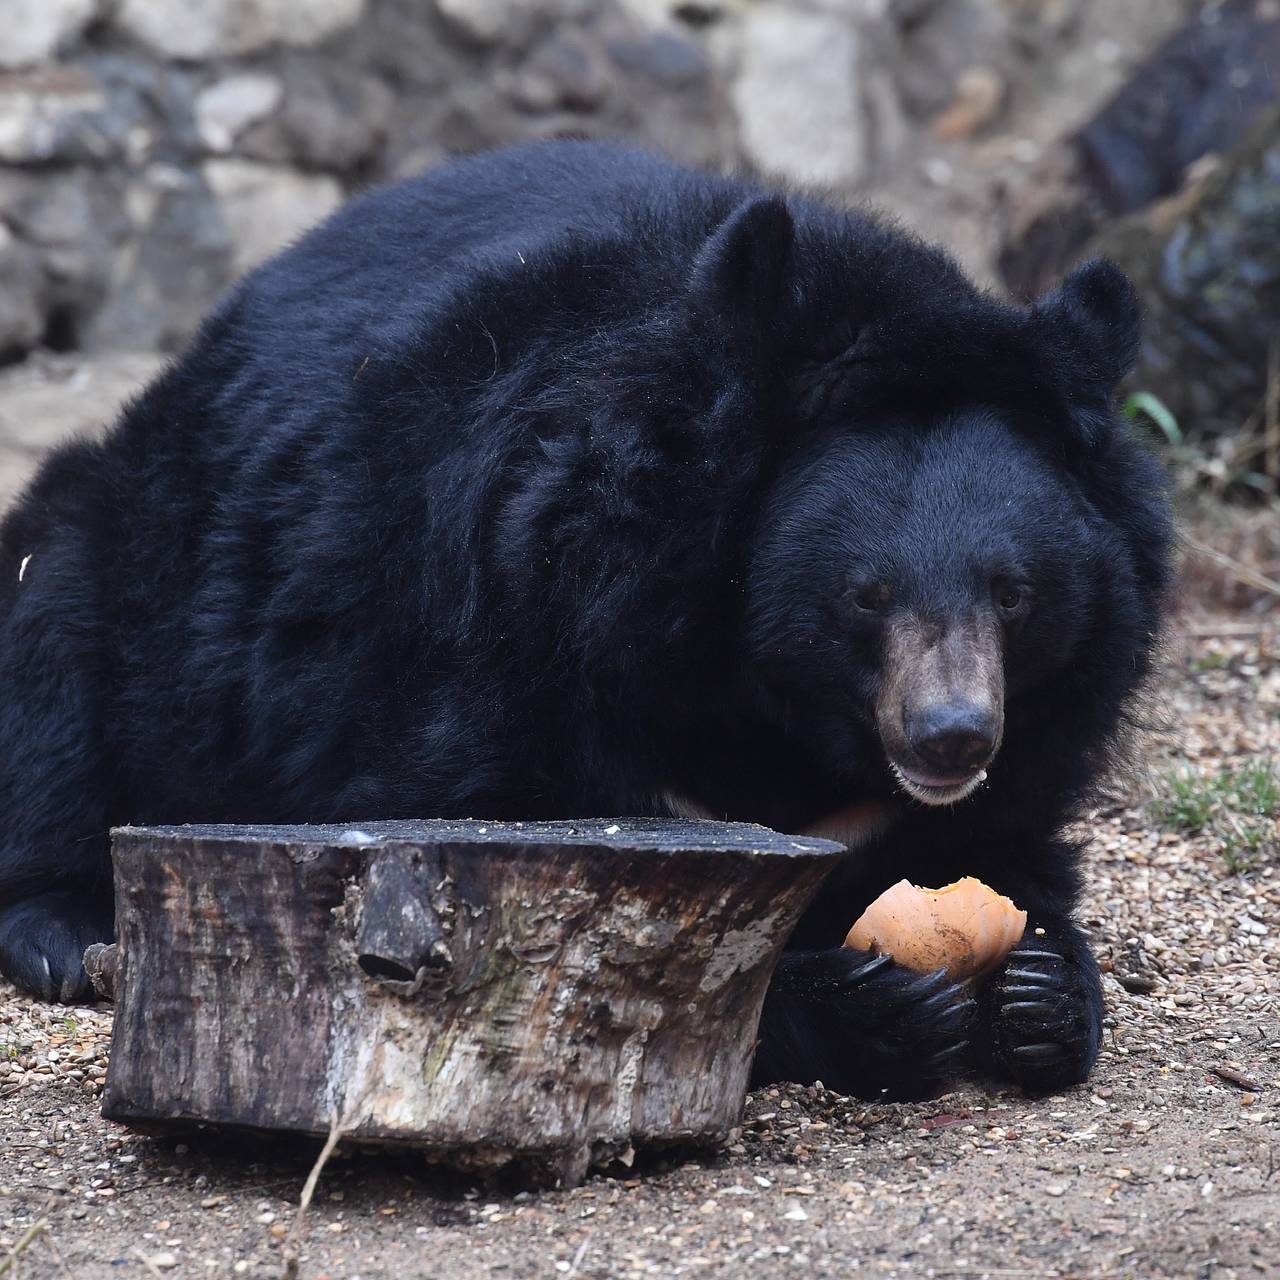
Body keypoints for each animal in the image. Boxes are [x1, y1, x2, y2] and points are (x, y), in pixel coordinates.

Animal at [0, 142, 1172, 1100]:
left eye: (1014, 590)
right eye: (863, 593)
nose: (950, 736)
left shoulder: (1034, 728)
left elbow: (1006, 851)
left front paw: (1039, 990)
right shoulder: (491, 636)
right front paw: (868, 1010)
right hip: (130, 551)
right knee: (53, 661)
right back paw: (65, 930)